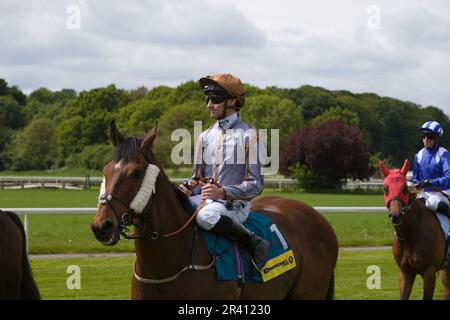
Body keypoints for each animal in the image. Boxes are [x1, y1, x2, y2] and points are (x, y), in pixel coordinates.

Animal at [380, 160, 450, 300]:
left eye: (404, 188)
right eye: (386, 188)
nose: (395, 216)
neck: (411, 235)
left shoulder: (429, 271)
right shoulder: (405, 272)